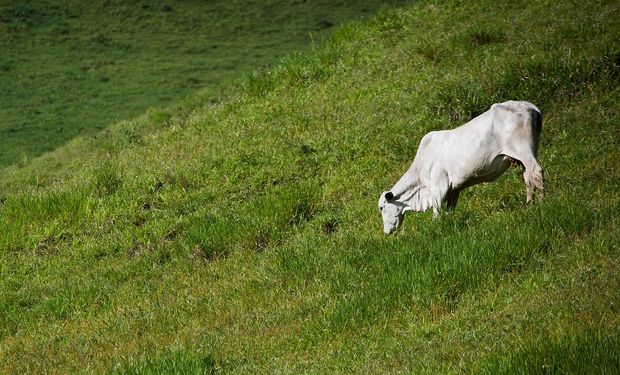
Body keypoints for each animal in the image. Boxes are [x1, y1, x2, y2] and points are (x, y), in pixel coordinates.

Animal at [378, 100, 544, 235]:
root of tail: (529, 106)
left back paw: (543, 203)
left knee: (537, 172)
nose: (386, 232)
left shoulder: (438, 187)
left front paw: (436, 227)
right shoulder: (453, 190)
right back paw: (530, 204)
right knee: (529, 177)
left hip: (523, 149)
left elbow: (437, 212)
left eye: (381, 208)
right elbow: (449, 210)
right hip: (527, 153)